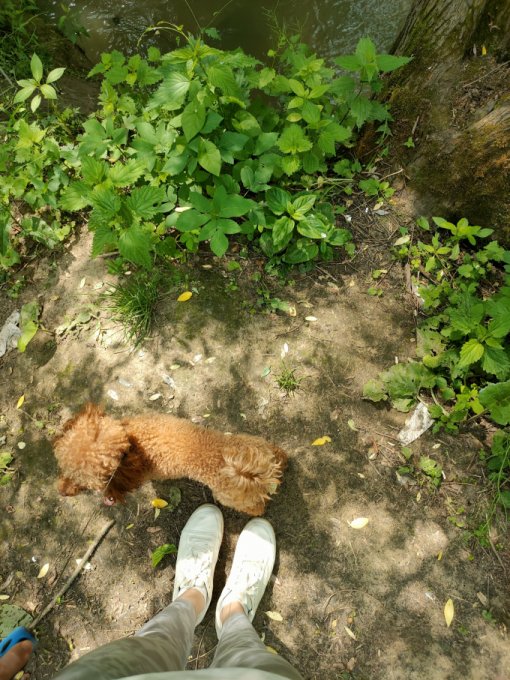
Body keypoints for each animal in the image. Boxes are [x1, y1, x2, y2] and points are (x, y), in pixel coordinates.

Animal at [53, 403, 287, 516]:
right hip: (257, 443)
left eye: (83, 483)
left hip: (229, 497)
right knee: (277, 453)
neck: (135, 443)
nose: (61, 492)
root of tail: (253, 473)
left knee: (253, 507)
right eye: (63, 468)